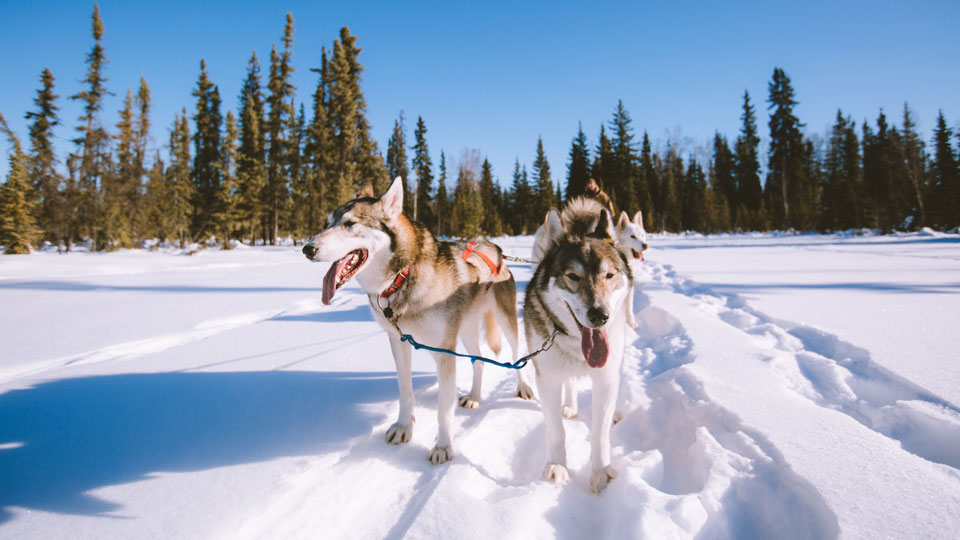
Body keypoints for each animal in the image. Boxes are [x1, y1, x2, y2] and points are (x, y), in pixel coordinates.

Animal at [304, 177, 536, 464]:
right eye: (326, 223)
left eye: (349, 224)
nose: (307, 248)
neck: (402, 275)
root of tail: (495, 248)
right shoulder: (399, 341)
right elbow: (405, 389)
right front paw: (404, 427)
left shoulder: (445, 351)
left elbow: (444, 409)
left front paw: (443, 446)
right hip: (466, 330)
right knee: (479, 361)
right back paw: (474, 396)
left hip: (505, 320)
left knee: (516, 354)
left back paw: (523, 387)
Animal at [520, 205, 632, 492]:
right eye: (573, 276)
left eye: (609, 275)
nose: (599, 315)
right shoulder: (547, 379)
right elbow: (556, 430)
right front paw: (557, 465)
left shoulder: (606, 378)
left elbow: (600, 433)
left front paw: (601, 472)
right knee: (569, 383)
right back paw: (569, 406)